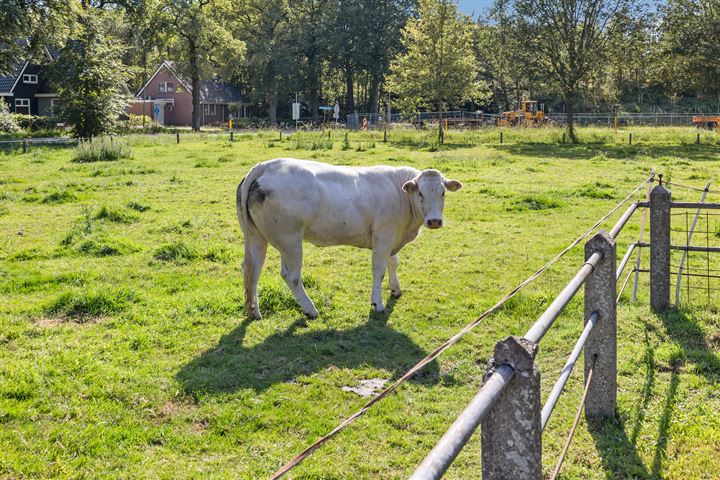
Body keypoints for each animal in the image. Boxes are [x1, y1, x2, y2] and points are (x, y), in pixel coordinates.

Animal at [236, 158, 462, 320]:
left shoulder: (391, 238)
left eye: (443, 192)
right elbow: (379, 270)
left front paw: (396, 289)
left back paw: (254, 312)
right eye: (420, 193)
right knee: (291, 275)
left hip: (256, 237)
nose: (434, 221)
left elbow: (393, 262)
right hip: (290, 240)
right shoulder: (383, 237)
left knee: (252, 270)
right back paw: (311, 309)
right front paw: (377, 303)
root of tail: (265, 166)